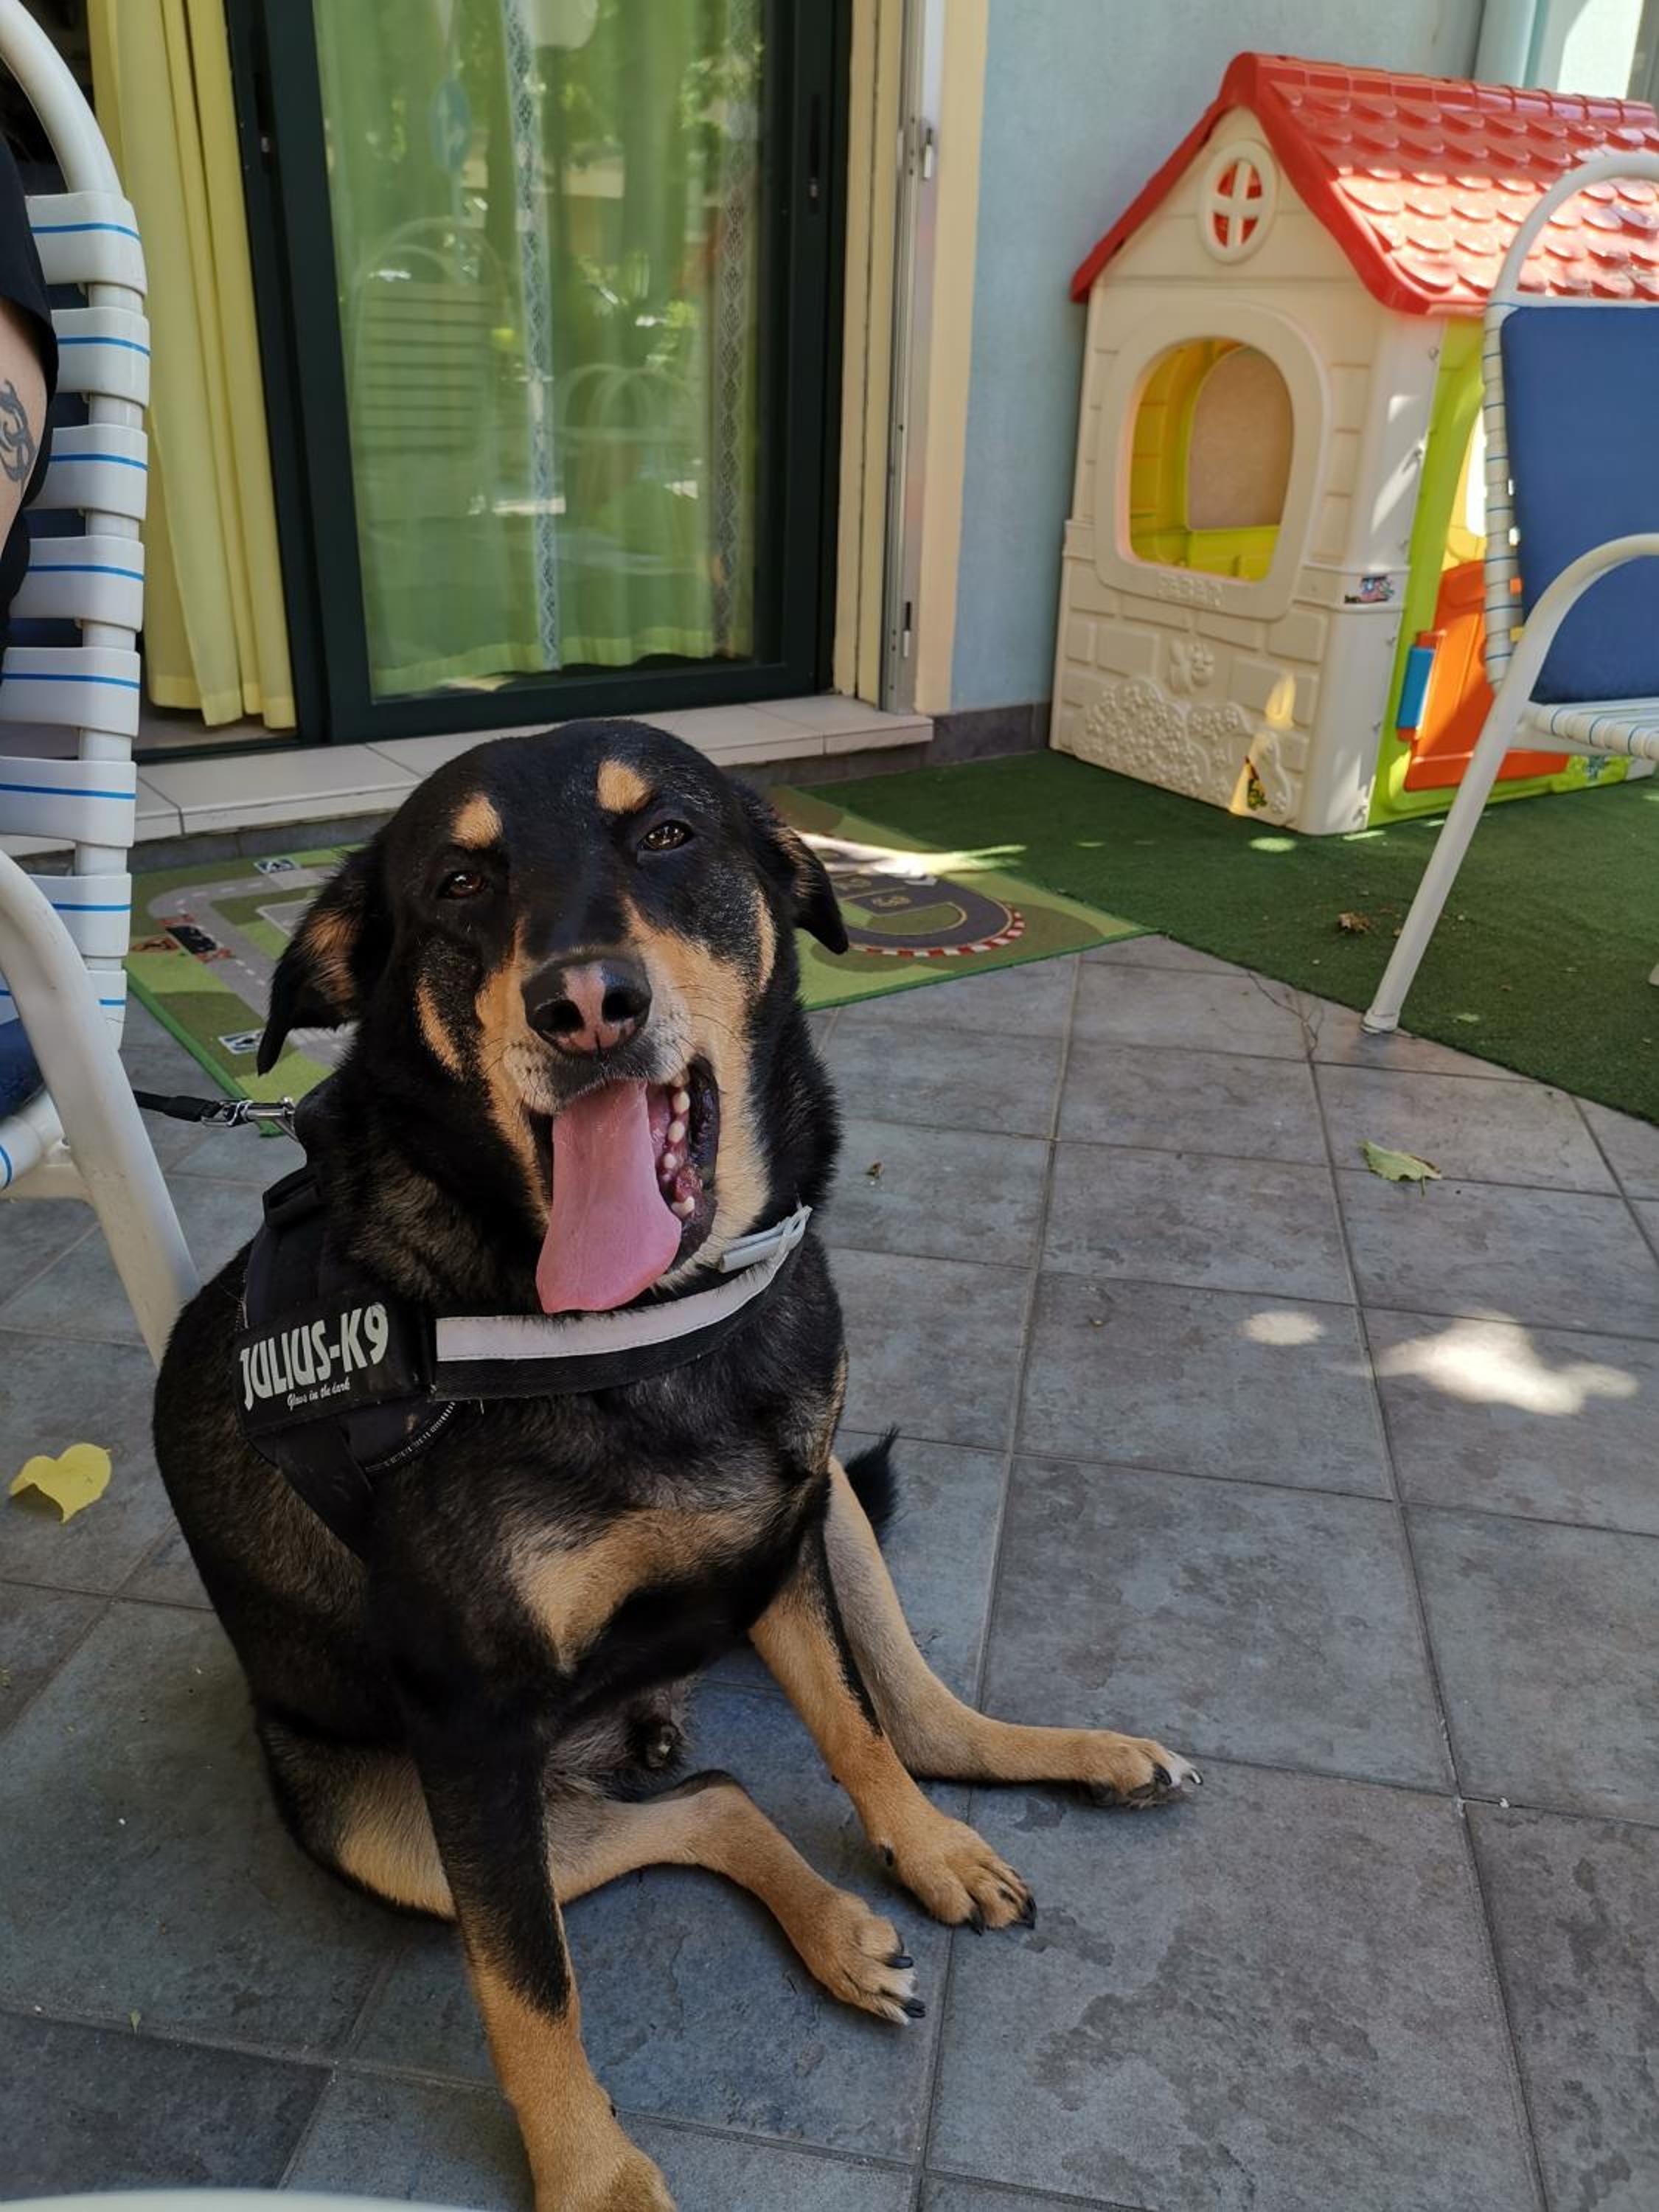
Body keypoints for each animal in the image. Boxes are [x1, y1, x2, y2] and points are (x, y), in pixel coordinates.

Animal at [153, 720, 1198, 2212]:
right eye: (460, 883)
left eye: (667, 835)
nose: (585, 1005)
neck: (642, 1324)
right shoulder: (469, 1730)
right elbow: (529, 1986)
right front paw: (593, 2179)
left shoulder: (784, 1530)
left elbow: (857, 1730)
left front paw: (924, 1848)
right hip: (391, 1830)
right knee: (700, 1805)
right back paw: (830, 1919)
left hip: (830, 1515)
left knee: (899, 1726)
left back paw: (1021, 1790)